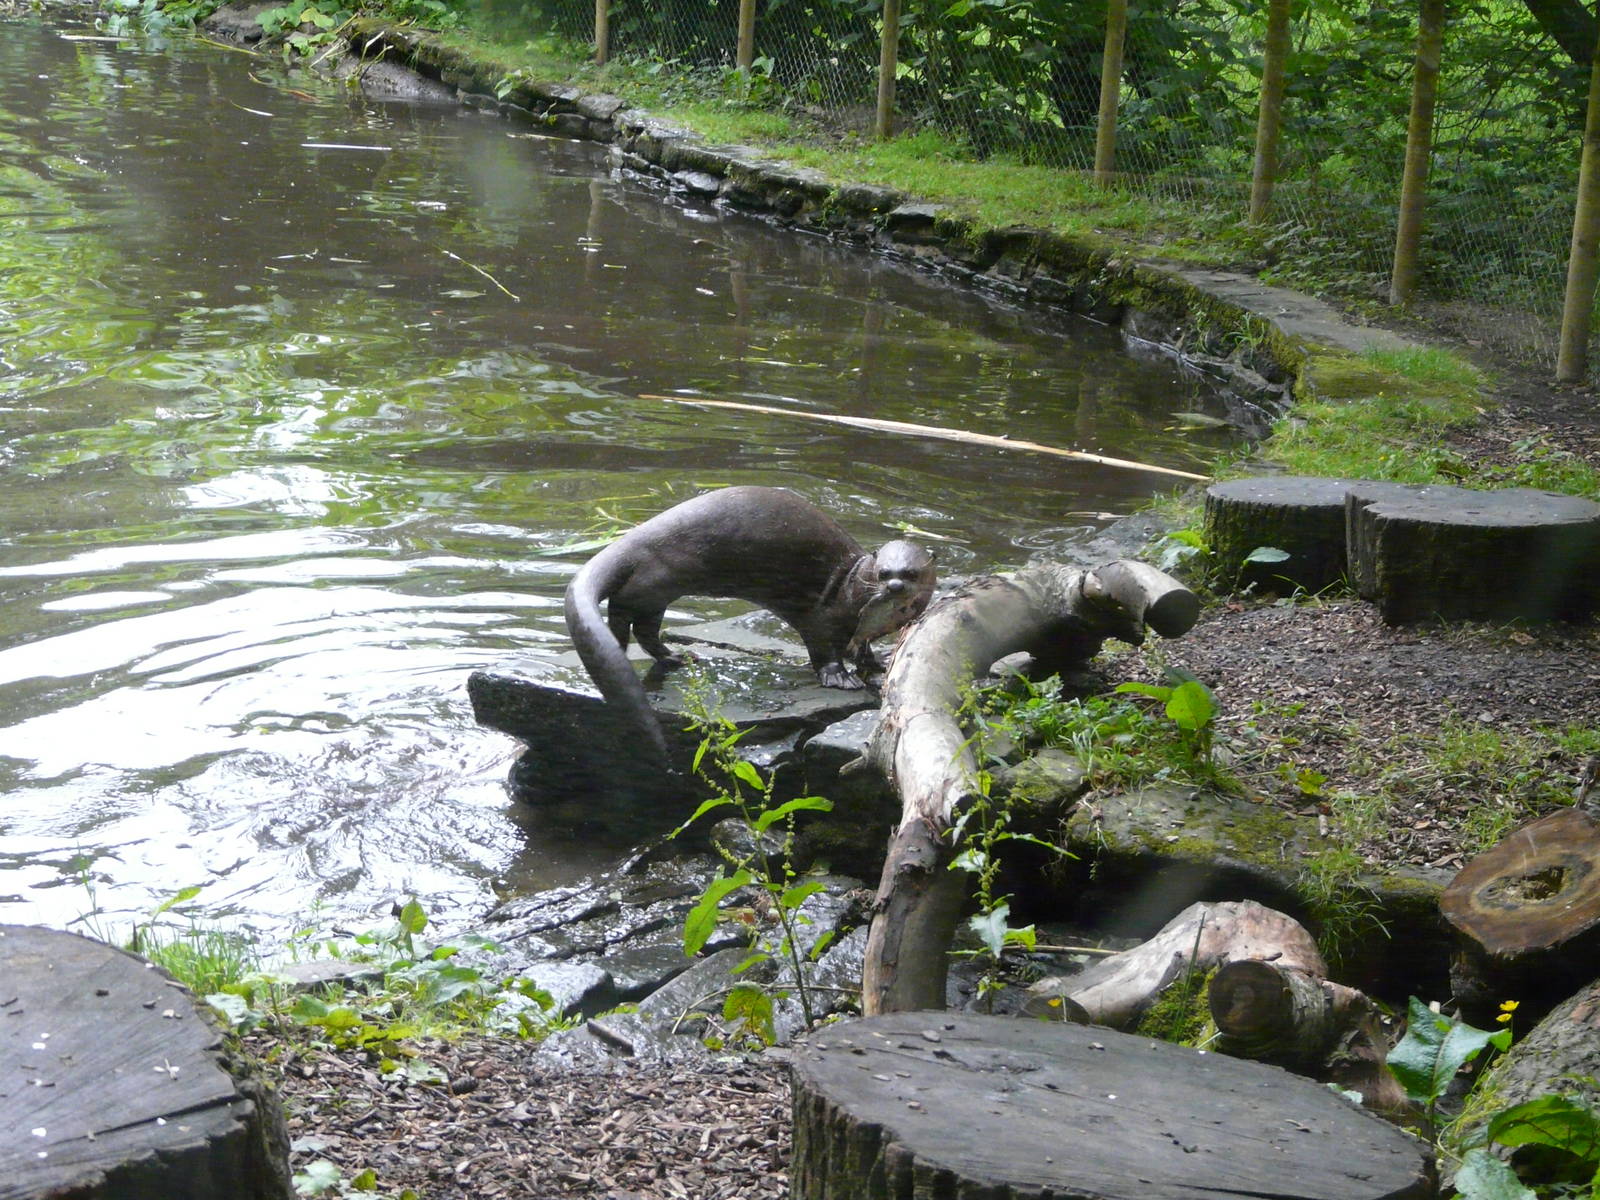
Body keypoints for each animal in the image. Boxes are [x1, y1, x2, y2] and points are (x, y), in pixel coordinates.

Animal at [564, 486, 935, 762]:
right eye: (884, 572)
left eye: (911, 573)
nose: (895, 587)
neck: (851, 585)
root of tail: (631, 540)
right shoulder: (824, 617)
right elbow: (823, 649)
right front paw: (840, 678)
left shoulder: (862, 630)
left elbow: (865, 648)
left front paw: (879, 662)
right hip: (654, 580)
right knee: (623, 607)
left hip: (656, 594)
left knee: (643, 627)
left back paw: (675, 657)